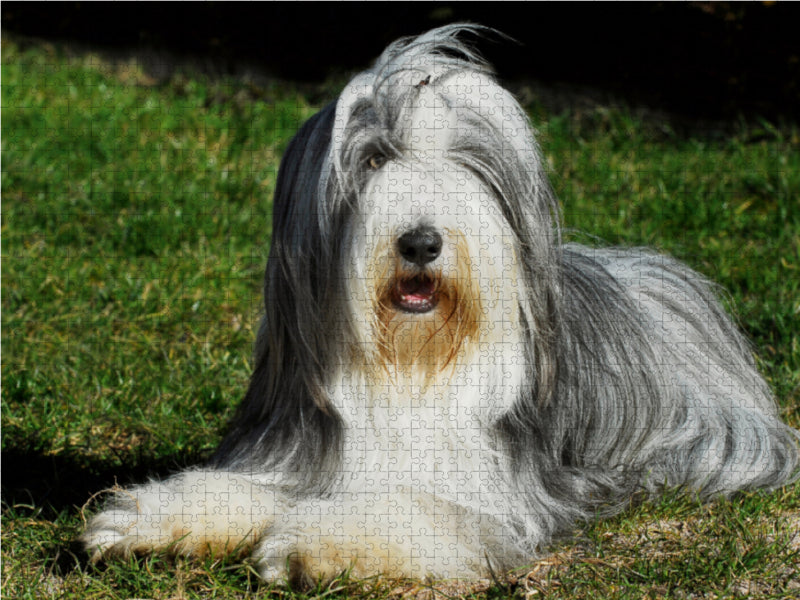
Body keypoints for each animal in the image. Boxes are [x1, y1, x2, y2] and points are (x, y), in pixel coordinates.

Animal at [83, 25, 800, 584]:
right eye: (373, 161)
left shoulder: (497, 495)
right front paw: (143, 519)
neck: (411, 363)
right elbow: (239, 487)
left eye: (466, 168)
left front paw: (311, 543)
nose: (421, 242)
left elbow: (413, 509)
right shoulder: (294, 454)